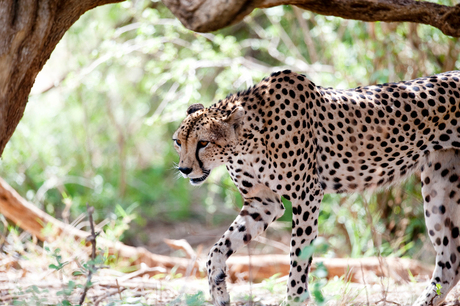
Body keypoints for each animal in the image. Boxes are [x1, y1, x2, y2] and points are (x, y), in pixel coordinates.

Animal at [172, 70, 460, 304]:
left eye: (203, 143)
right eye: (178, 141)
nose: (184, 169)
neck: (247, 140)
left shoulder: (306, 195)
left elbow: (299, 257)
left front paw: (294, 300)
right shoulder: (262, 203)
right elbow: (216, 250)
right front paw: (218, 290)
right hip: (440, 188)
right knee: (450, 262)